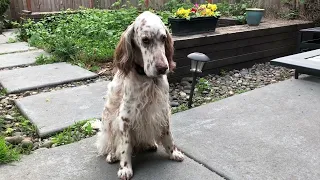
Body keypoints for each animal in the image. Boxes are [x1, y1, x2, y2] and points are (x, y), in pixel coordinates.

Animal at [96, 11, 184, 180]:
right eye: (145, 40)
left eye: (163, 38)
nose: (163, 68)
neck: (148, 80)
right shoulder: (125, 118)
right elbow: (125, 146)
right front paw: (125, 168)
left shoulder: (162, 111)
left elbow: (168, 136)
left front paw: (173, 152)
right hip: (108, 123)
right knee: (112, 144)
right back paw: (113, 155)